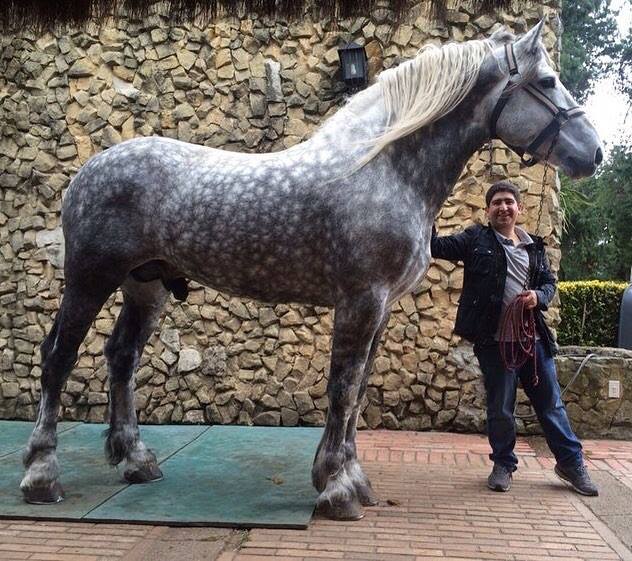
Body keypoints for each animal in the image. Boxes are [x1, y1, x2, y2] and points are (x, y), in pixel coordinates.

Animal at [21, 23, 604, 520]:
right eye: (547, 82)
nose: (594, 153)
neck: (383, 169)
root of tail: (87, 172)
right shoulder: (360, 302)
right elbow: (342, 389)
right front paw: (337, 489)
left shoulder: (380, 310)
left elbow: (359, 391)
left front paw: (352, 479)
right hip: (89, 280)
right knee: (57, 359)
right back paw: (41, 476)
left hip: (146, 286)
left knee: (122, 357)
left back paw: (135, 461)